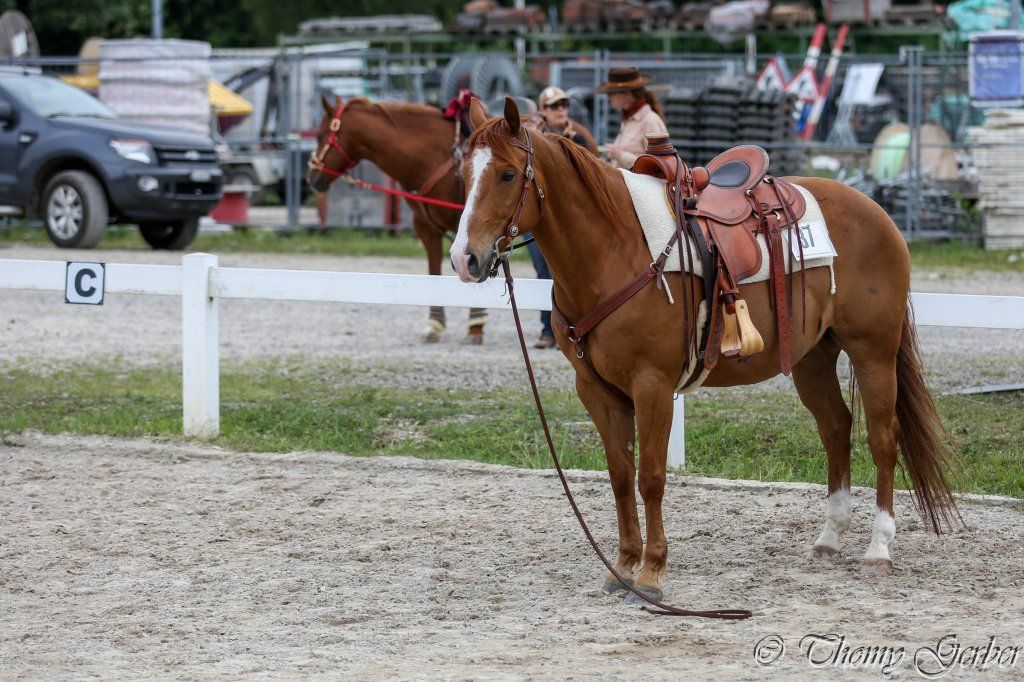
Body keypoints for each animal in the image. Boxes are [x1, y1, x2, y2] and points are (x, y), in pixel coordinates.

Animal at [450, 98, 960, 604]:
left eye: (507, 174)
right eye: (463, 175)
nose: (464, 259)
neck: (614, 250)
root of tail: (877, 211)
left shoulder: (653, 385)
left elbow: (651, 478)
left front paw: (651, 574)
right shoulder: (596, 390)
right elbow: (619, 478)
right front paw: (622, 567)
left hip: (873, 351)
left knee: (883, 438)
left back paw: (878, 549)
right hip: (812, 357)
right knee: (836, 430)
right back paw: (829, 539)